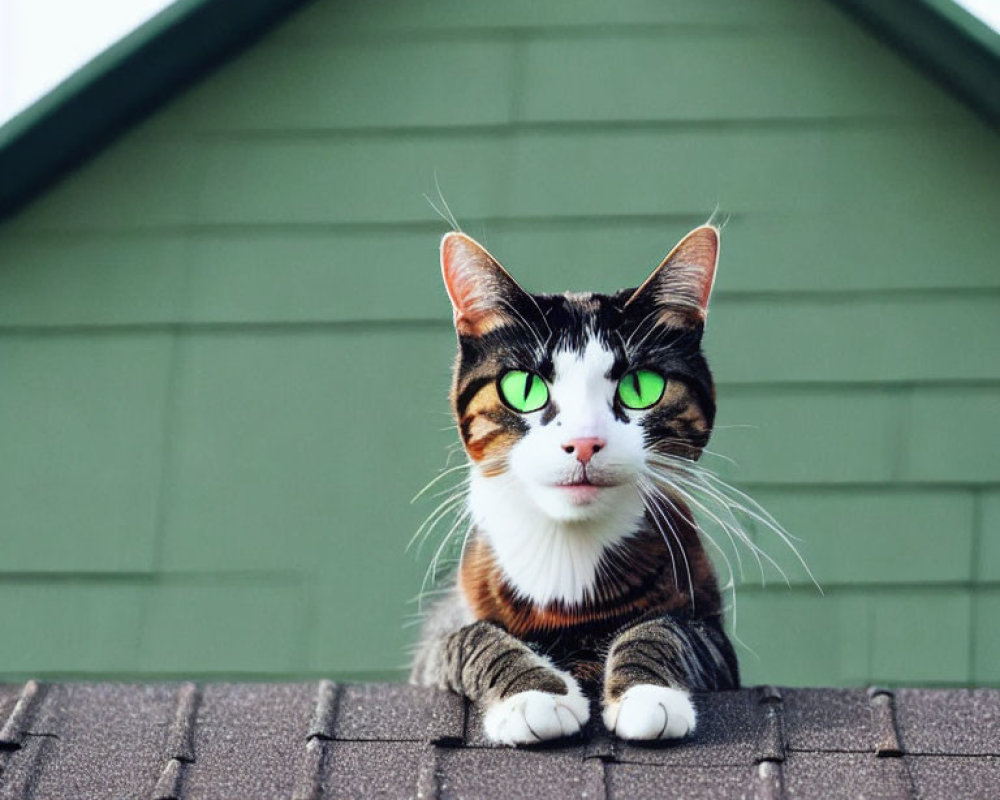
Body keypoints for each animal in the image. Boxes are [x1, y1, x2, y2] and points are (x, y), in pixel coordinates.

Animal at [408, 223, 744, 744]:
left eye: (641, 387)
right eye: (524, 388)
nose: (584, 443)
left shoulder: (719, 646)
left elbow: (668, 630)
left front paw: (647, 696)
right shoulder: (437, 643)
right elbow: (469, 639)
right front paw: (534, 696)